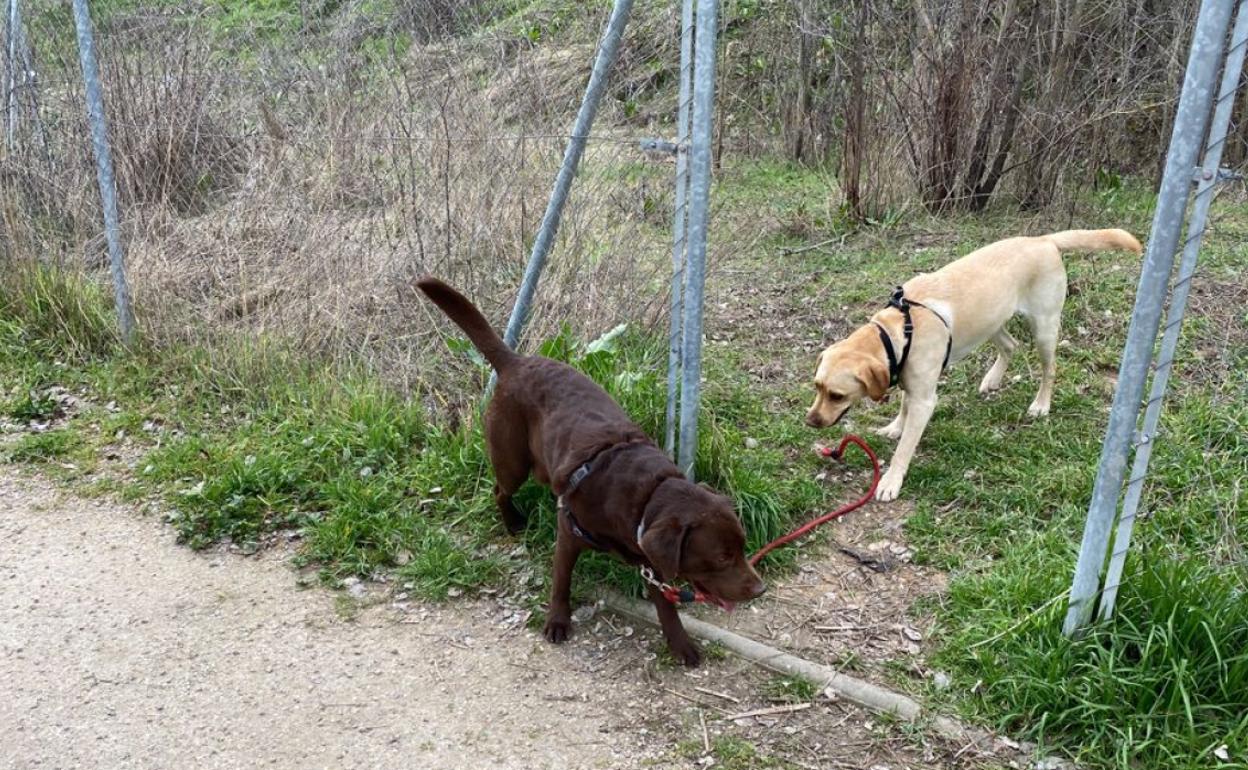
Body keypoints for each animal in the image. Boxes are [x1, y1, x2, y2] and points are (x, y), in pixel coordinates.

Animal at [419, 278, 763, 668]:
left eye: (743, 547)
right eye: (722, 557)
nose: (760, 589)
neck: (646, 497)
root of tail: (516, 361)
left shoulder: (651, 559)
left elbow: (666, 606)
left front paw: (681, 644)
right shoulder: (569, 533)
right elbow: (561, 582)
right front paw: (557, 621)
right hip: (512, 461)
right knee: (499, 490)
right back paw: (513, 522)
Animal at [808, 227, 1143, 504]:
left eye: (836, 395)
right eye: (817, 387)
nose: (811, 421)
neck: (899, 331)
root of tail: (1042, 240)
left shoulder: (925, 400)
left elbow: (905, 447)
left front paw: (891, 480)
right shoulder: (909, 380)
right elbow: (903, 408)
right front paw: (894, 427)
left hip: (1044, 328)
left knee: (1049, 370)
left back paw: (1041, 404)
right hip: (991, 320)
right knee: (1010, 345)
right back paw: (992, 379)